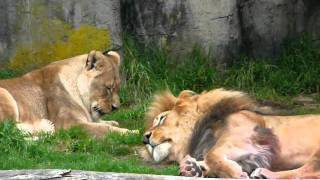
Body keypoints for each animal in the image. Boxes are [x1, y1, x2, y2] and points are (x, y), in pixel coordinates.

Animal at [0, 50, 135, 137]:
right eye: (108, 88)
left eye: (117, 88)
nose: (116, 107)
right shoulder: (70, 124)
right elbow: (106, 129)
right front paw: (132, 132)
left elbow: (103, 123)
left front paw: (113, 122)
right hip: (5, 95)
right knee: (8, 131)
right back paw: (46, 128)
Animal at [142, 88, 320, 179]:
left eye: (161, 119)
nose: (145, 138)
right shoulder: (252, 156)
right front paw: (192, 168)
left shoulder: (243, 137)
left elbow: (213, 155)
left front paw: (236, 173)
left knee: (306, 172)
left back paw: (263, 174)